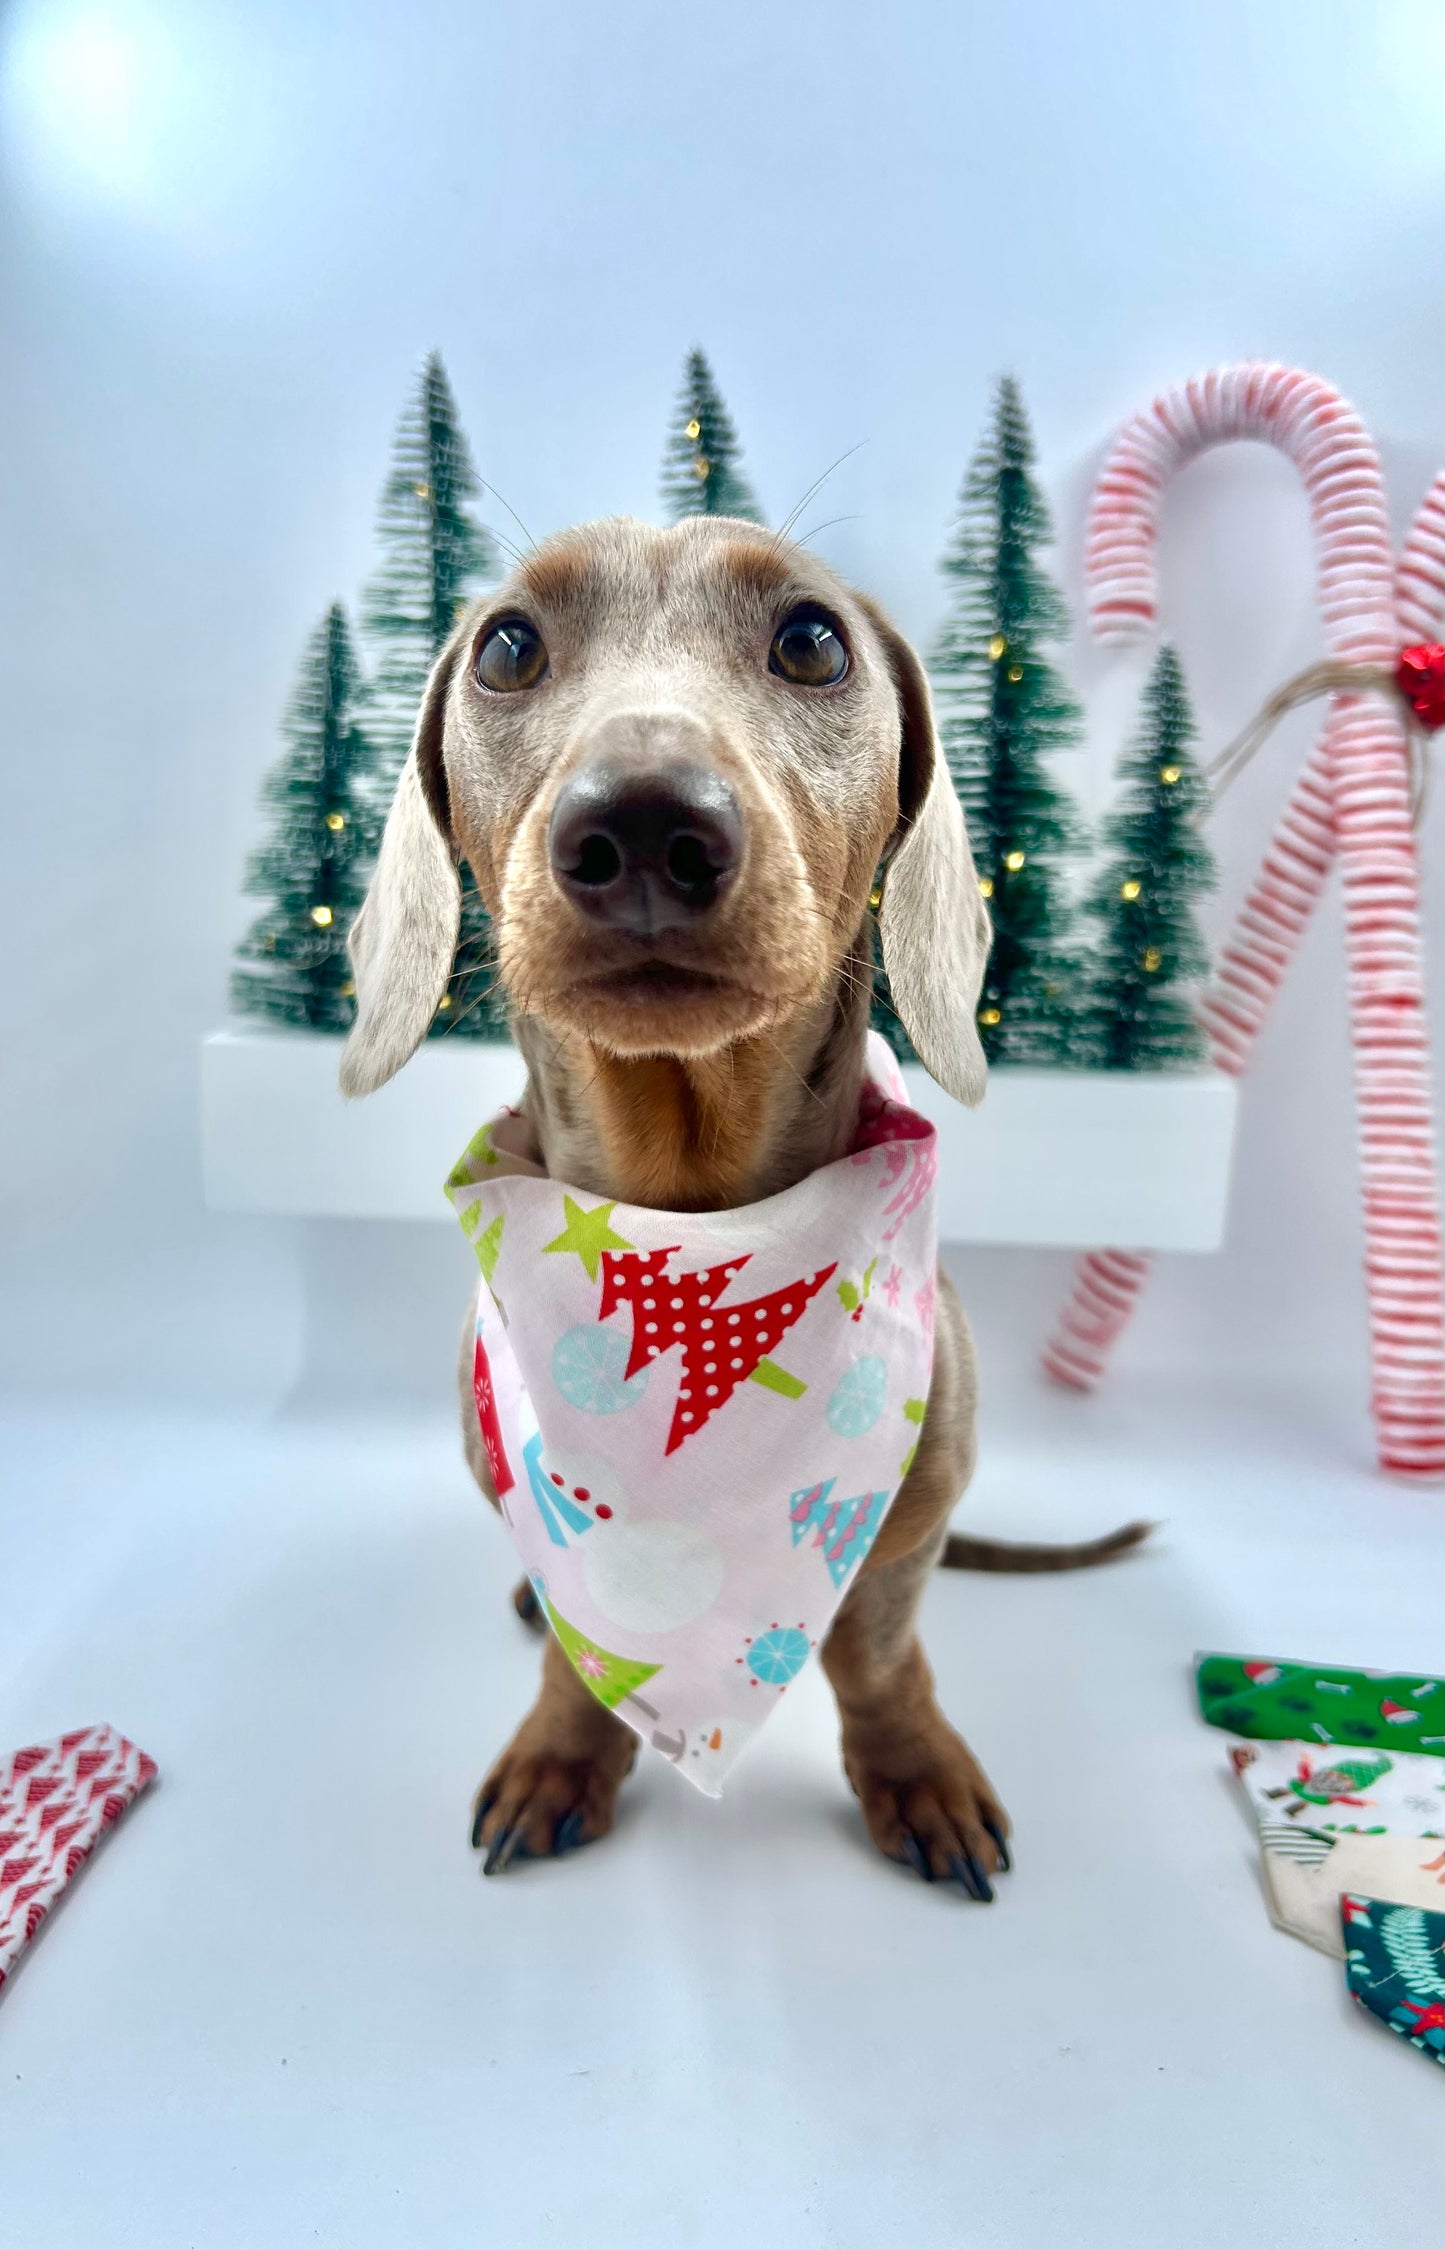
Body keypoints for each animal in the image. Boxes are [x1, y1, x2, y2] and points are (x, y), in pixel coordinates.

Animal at [337, 515, 1134, 1899]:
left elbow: (878, 1659)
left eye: (811, 640)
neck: (688, 1215)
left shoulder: (908, 1526)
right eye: (506, 647)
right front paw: (561, 1753)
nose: (646, 824)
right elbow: (579, 1656)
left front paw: (914, 1773)